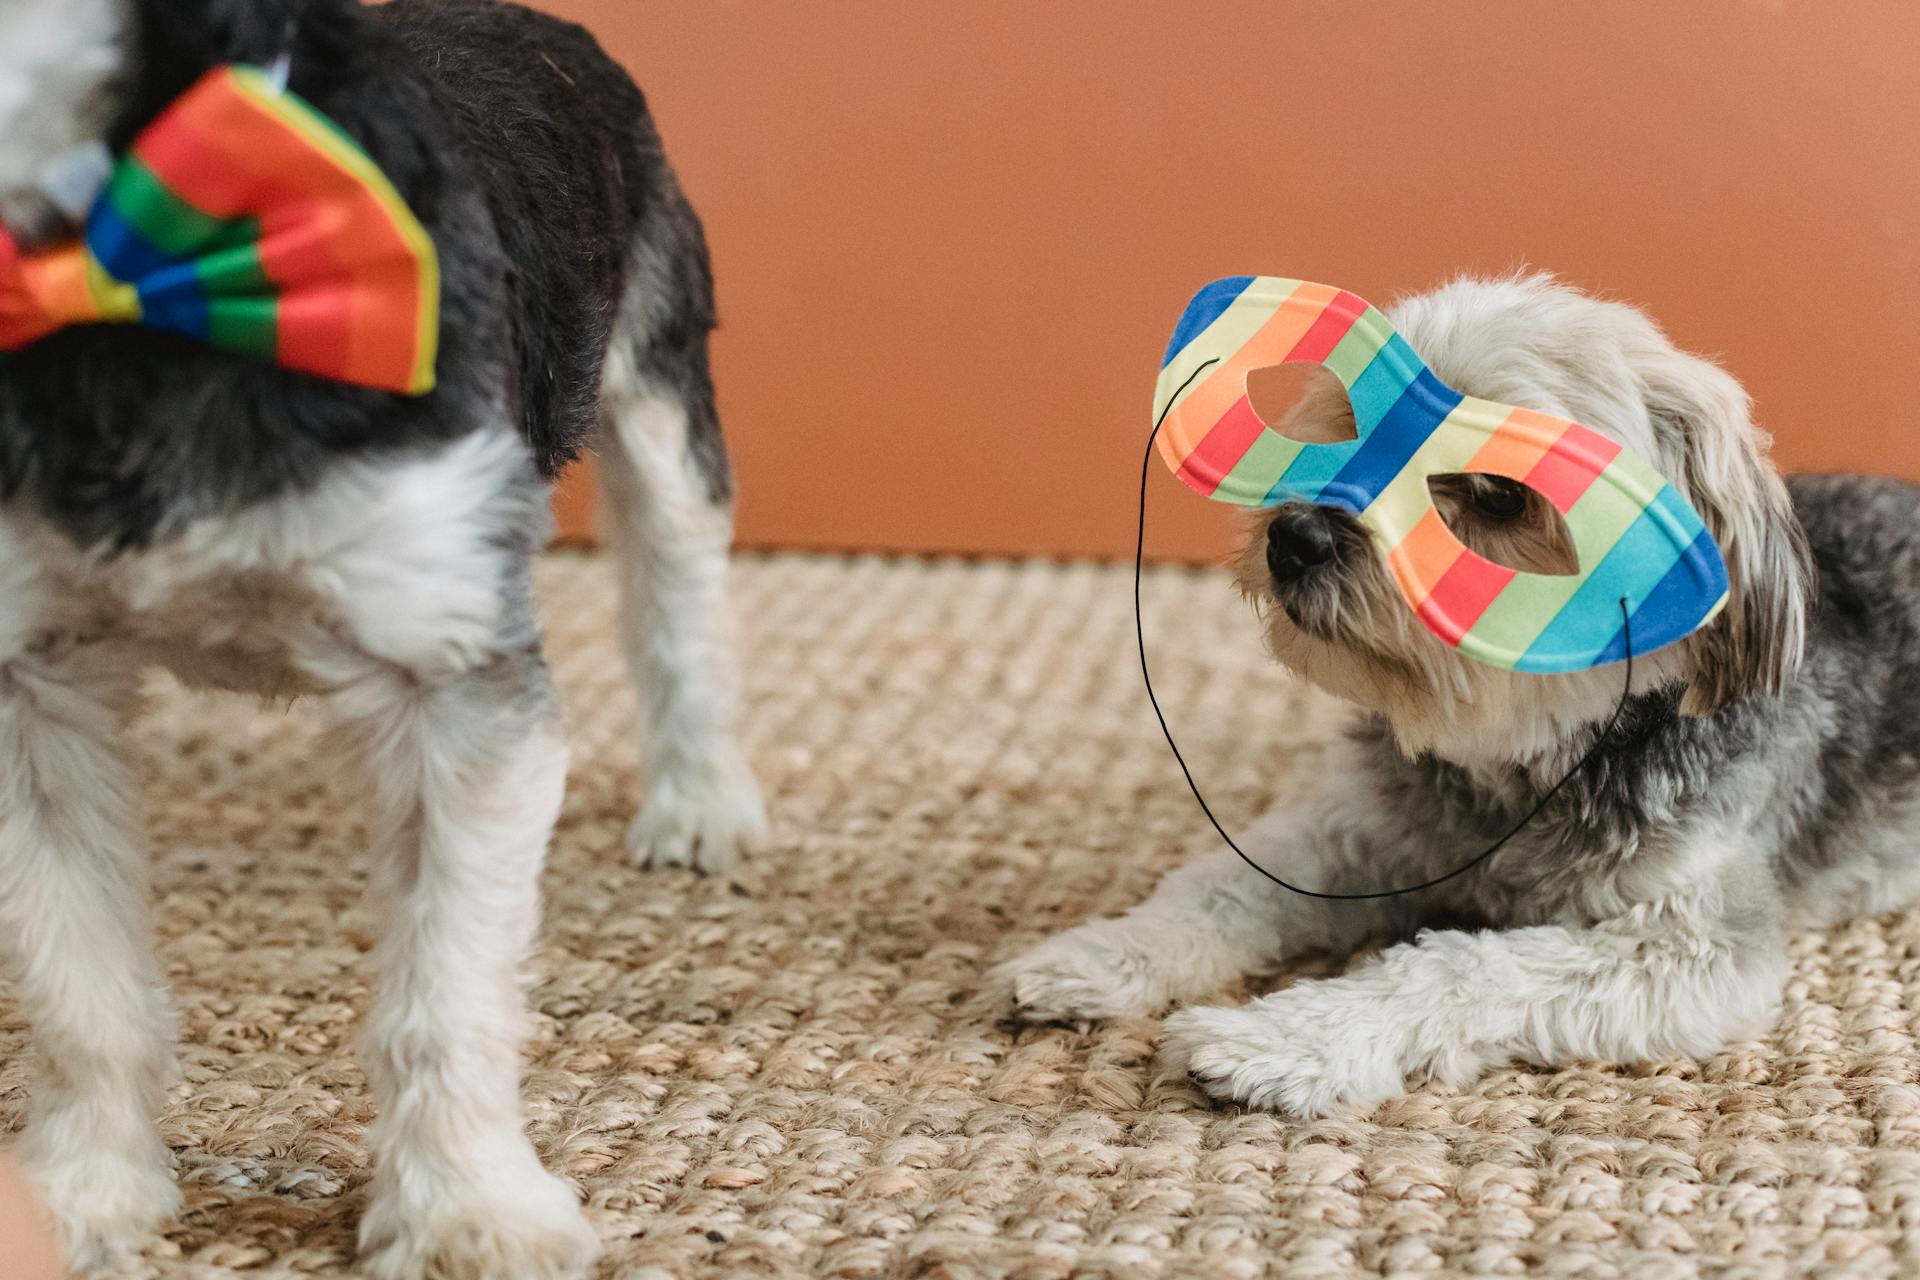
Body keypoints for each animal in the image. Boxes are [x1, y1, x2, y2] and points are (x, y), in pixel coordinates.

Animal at [0, 2, 764, 1280]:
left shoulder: (450, 679)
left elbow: (444, 996)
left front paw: (467, 1206)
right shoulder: (30, 684)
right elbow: (77, 979)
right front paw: (79, 1191)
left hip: (658, 379)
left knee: (681, 602)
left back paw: (702, 796)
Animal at [998, 272, 1920, 1120]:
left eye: (1498, 494)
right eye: (1352, 425)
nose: (1295, 536)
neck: (1521, 764)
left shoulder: (1691, 942)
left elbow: (1459, 964)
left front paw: (1279, 1041)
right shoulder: (1359, 826)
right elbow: (1222, 885)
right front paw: (1100, 953)